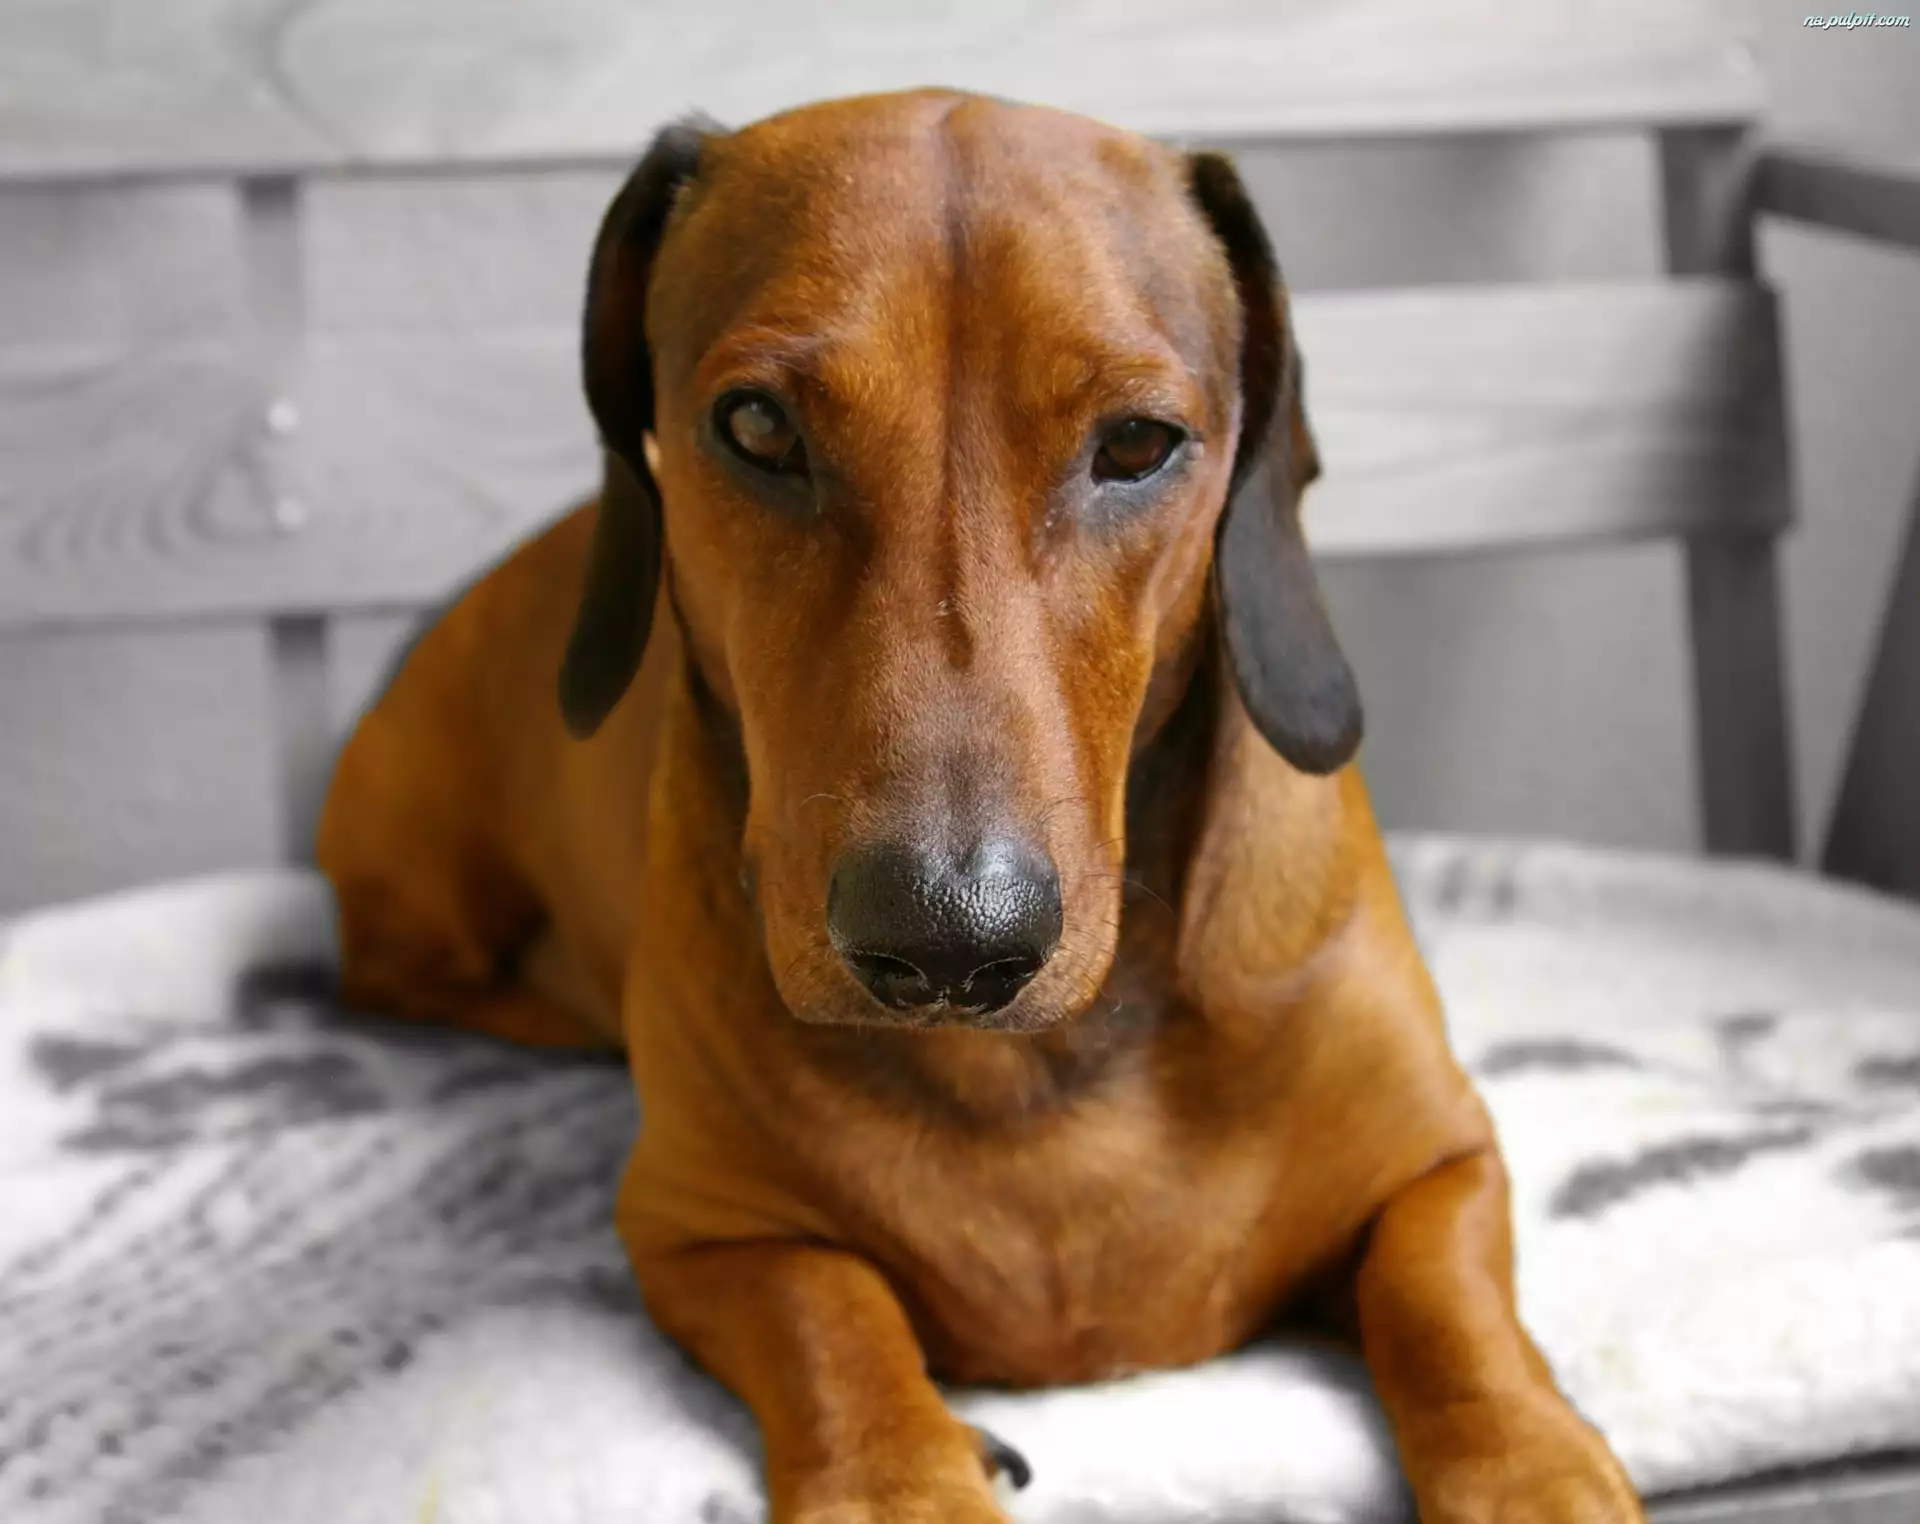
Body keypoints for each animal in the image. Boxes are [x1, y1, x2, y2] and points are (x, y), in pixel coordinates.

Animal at [316, 88, 1645, 1523]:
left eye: (1138, 443)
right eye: (758, 428)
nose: (950, 941)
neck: (1034, 1074)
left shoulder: (1442, 1160)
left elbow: (1445, 1294)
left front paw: (1528, 1465)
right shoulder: (700, 1231)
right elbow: (825, 1309)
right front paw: (904, 1473)